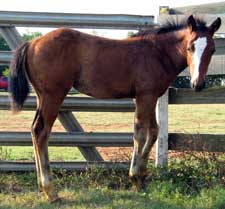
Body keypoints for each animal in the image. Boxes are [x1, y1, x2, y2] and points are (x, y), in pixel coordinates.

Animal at [9, 15, 221, 202]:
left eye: (212, 50)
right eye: (190, 47)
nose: (198, 84)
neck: (156, 53)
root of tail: (32, 43)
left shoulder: (151, 97)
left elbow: (153, 132)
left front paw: (142, 177)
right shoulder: (145, 97)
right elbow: (140, 134)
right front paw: (135, 178)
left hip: (41, 97)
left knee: (34, 129)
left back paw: (42, 186)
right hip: (53, 96)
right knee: (42, 131)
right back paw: (50, 191)